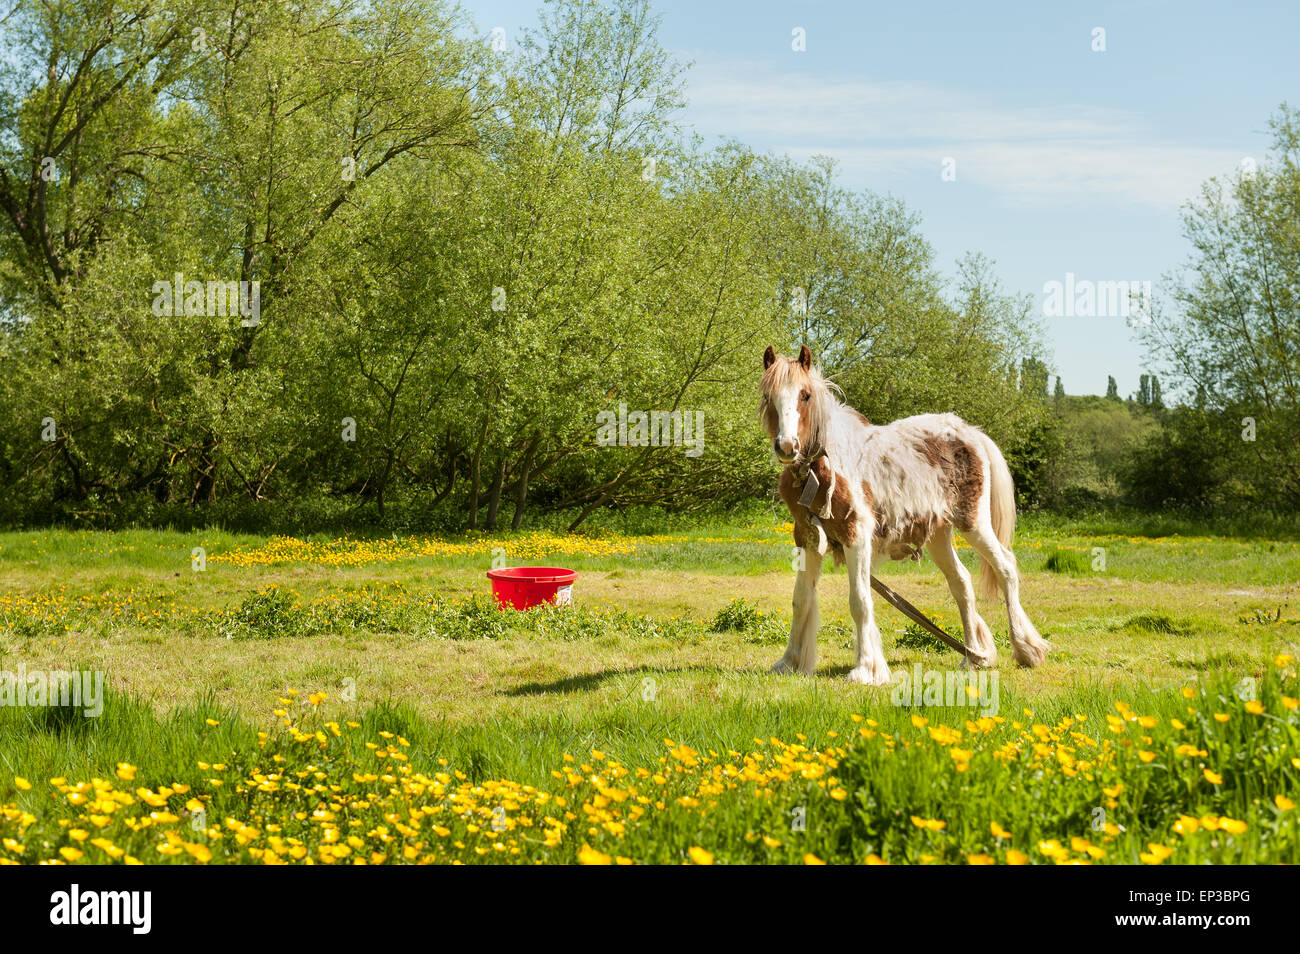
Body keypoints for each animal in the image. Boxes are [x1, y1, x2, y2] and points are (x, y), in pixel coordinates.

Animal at [759, 348, 1050, 686]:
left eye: (804, 395)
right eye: (768, 396)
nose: (787, 446)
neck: (822, 469)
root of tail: (971, 434)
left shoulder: (856, 536)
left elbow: (859, 601)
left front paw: (866, 669)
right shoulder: (808, 537)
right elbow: (801, 599)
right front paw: (791, 662)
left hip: (973, 524)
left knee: (1005, 568)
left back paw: (1025, 648)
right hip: (939, 535)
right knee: (961, 582)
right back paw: (973, 657)